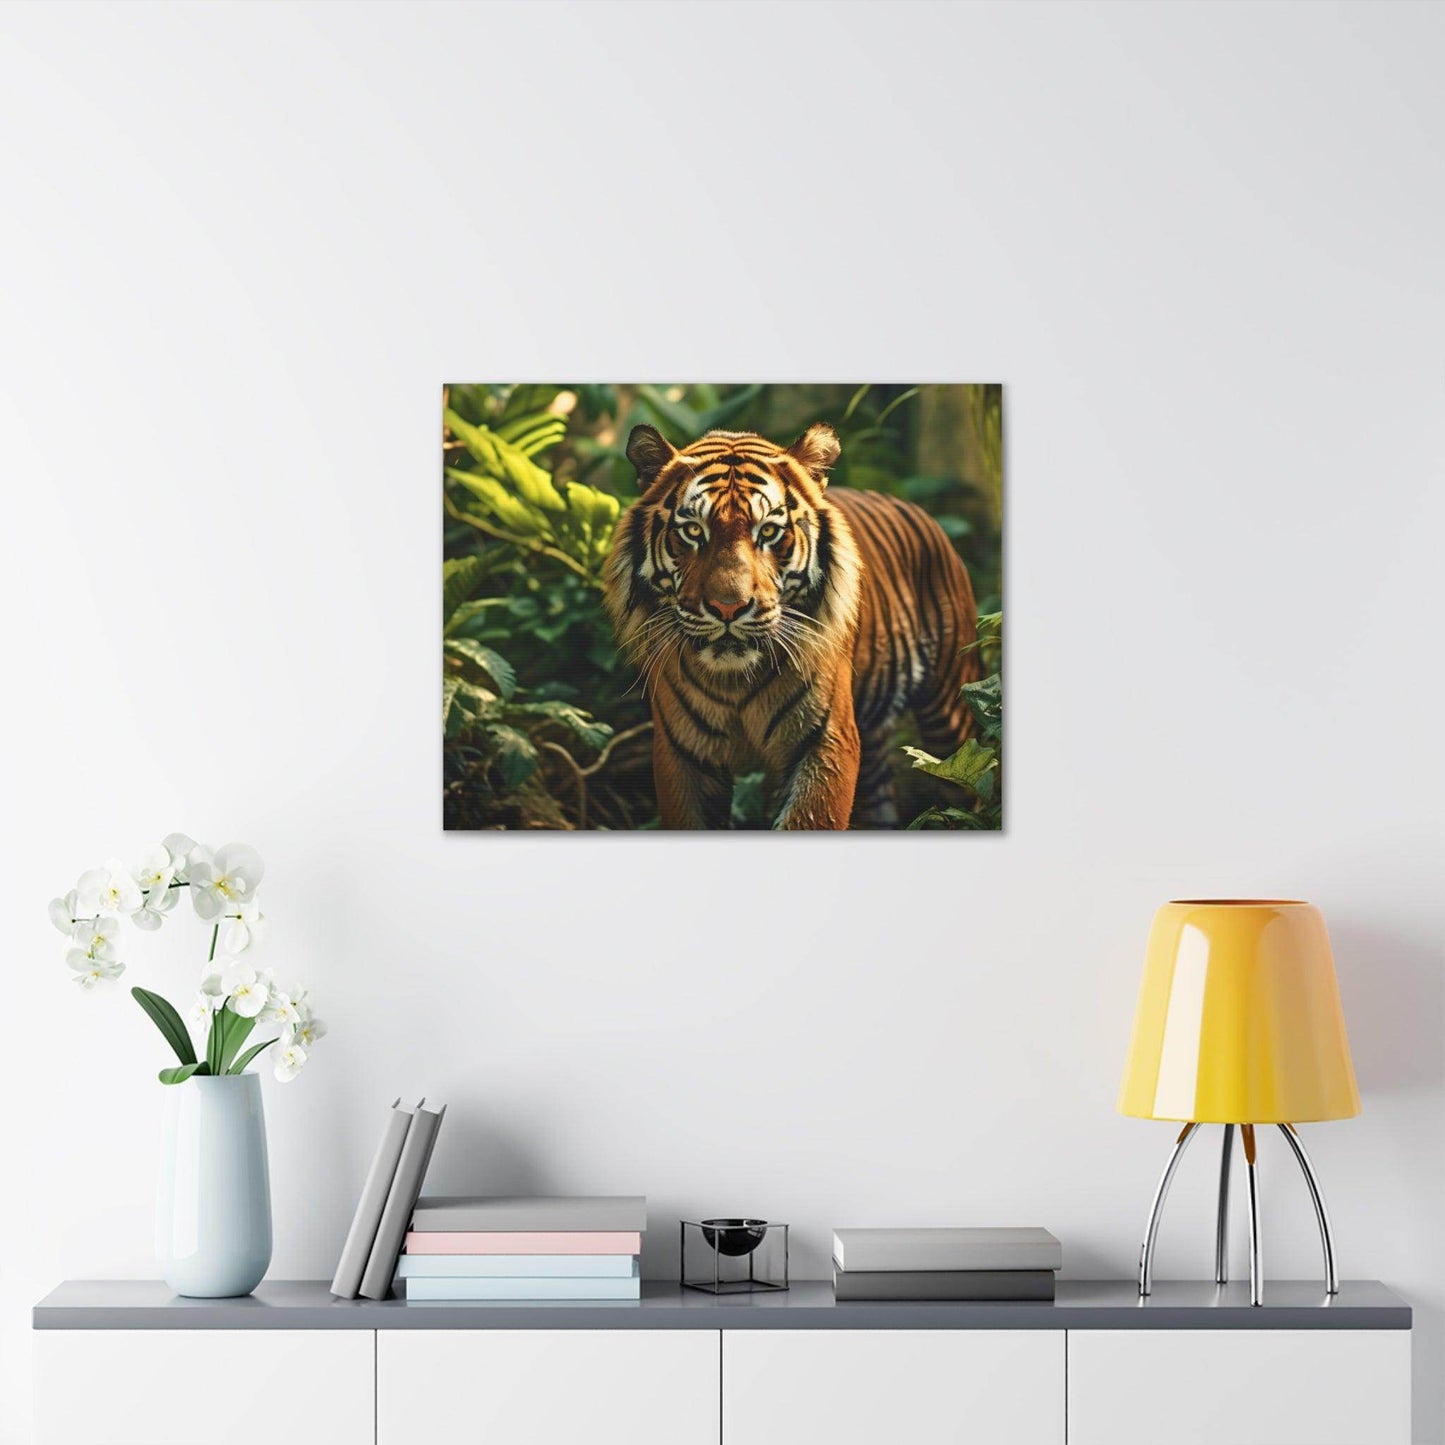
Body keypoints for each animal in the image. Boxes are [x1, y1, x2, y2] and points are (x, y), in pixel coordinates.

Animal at [603, 421, 980, 829]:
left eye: (768, 532)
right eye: (692, 531)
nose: (728, 607)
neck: (735, 683)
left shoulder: (826, 741)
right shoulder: (682, 754)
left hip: (952, 710)